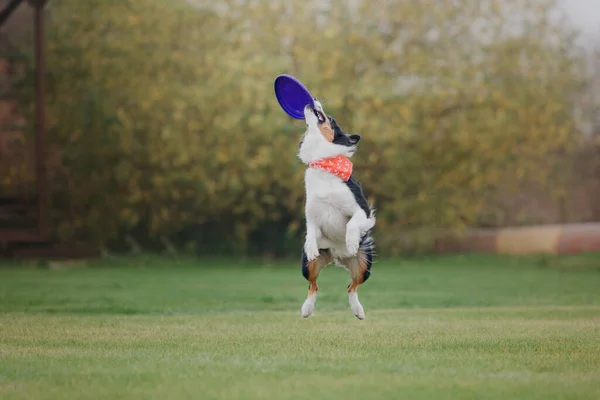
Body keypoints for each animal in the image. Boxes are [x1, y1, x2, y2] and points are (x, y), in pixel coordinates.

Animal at [296, 99, 376, 318]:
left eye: (330, 119)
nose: (313, 100)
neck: (325, 163)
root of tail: (338, 256)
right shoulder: (312, 216)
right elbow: (310, 232)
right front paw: (311, 245)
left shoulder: (362, 210)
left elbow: (352, 224)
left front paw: (351, 241)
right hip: (307, 264)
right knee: (313, 285)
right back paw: (307, 308)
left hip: (365, 263)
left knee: (352, 286)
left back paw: (358, 310)